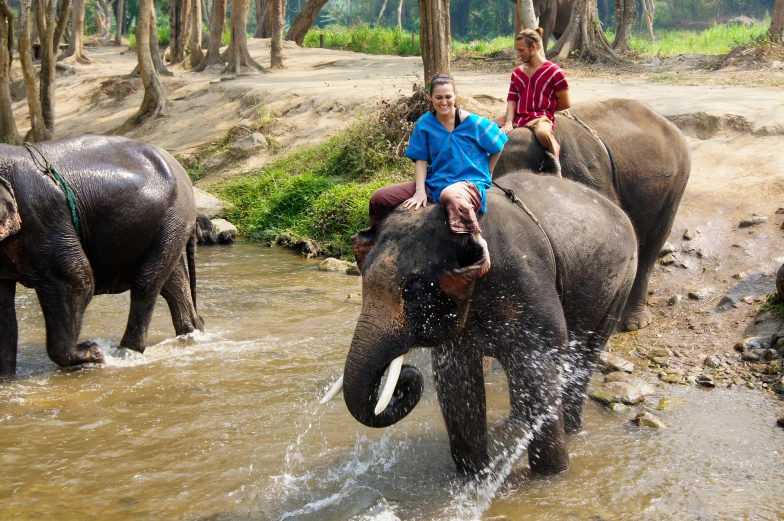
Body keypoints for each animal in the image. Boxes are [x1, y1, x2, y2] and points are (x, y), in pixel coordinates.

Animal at [0, 134, 202, 374]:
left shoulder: (41, 216)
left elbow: (76, 279)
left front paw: (95, 353)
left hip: (174, 217)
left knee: (147, 283)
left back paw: (125, 354)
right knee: (172, 283)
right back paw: (192, 332)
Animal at [324, 172, 636, 476]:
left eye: (416, 289)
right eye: (363, 275)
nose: (406, 377)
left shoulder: (529, 282)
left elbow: (539, 366)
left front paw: (554, 475)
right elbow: (457, 378)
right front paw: (473, 476)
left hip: (622, 281)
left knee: (584, 355)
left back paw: (570, 430)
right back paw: (518, 425)